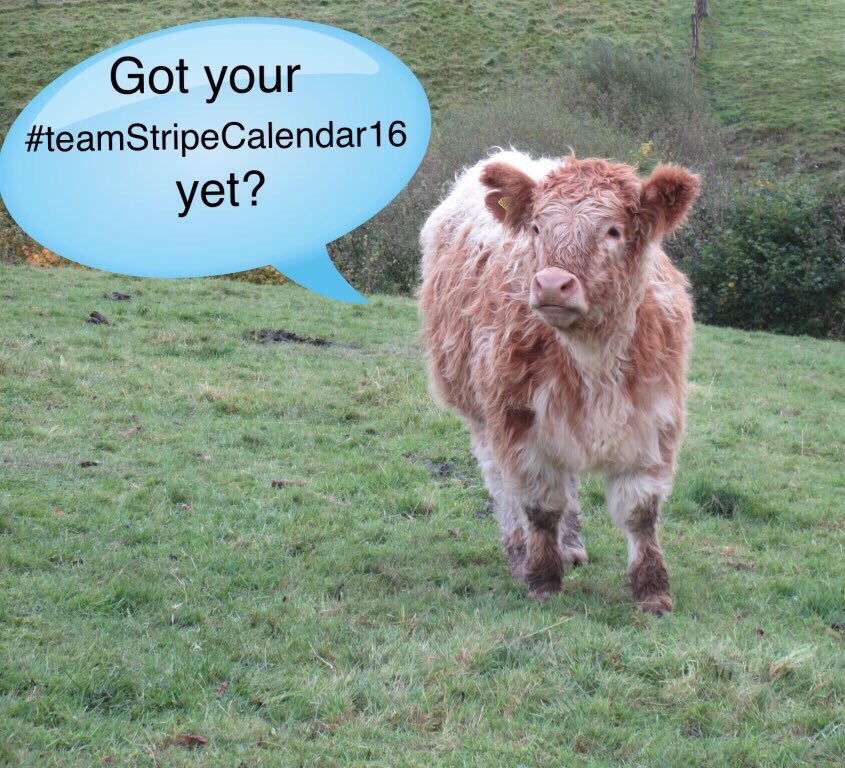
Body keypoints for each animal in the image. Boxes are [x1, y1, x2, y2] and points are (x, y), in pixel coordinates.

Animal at [419, 150, 700, 614]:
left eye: (613, 230)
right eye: (536, 228)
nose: (551, 284)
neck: (594, 360)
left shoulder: (653, 418)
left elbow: (641, 512)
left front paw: (653, 591)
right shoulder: (518, 419)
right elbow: (538, 505)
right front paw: (543, 579)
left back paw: (571, 546)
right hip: (480, 412)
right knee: (502, 485)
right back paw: (520, 552)